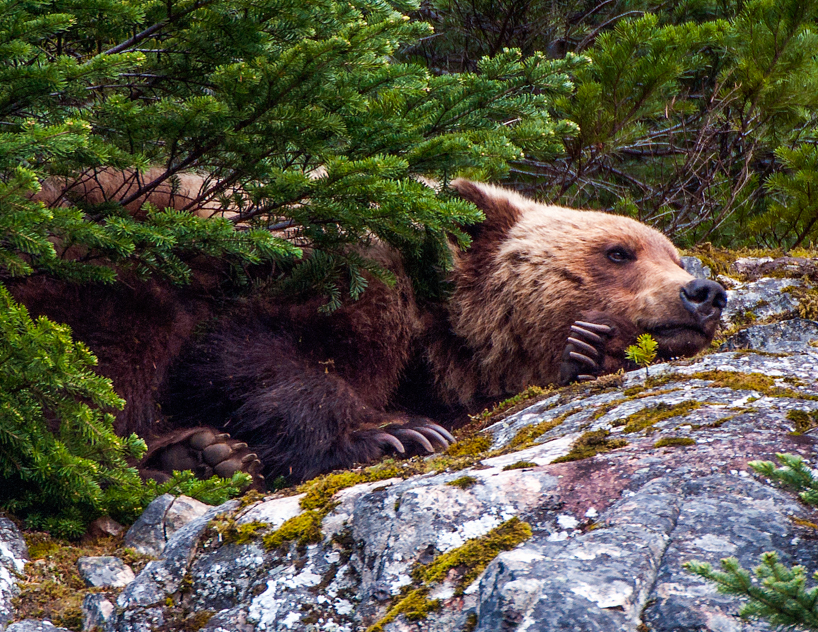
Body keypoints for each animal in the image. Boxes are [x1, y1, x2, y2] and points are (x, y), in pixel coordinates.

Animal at [13, 174, 726, 487]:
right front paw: (392, 434)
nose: (705, 293)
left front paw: (587, 351)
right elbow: (248, 352)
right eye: (618, 251)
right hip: (91, 258)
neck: (435, 325)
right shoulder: (328, 271)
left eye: (673, 252)